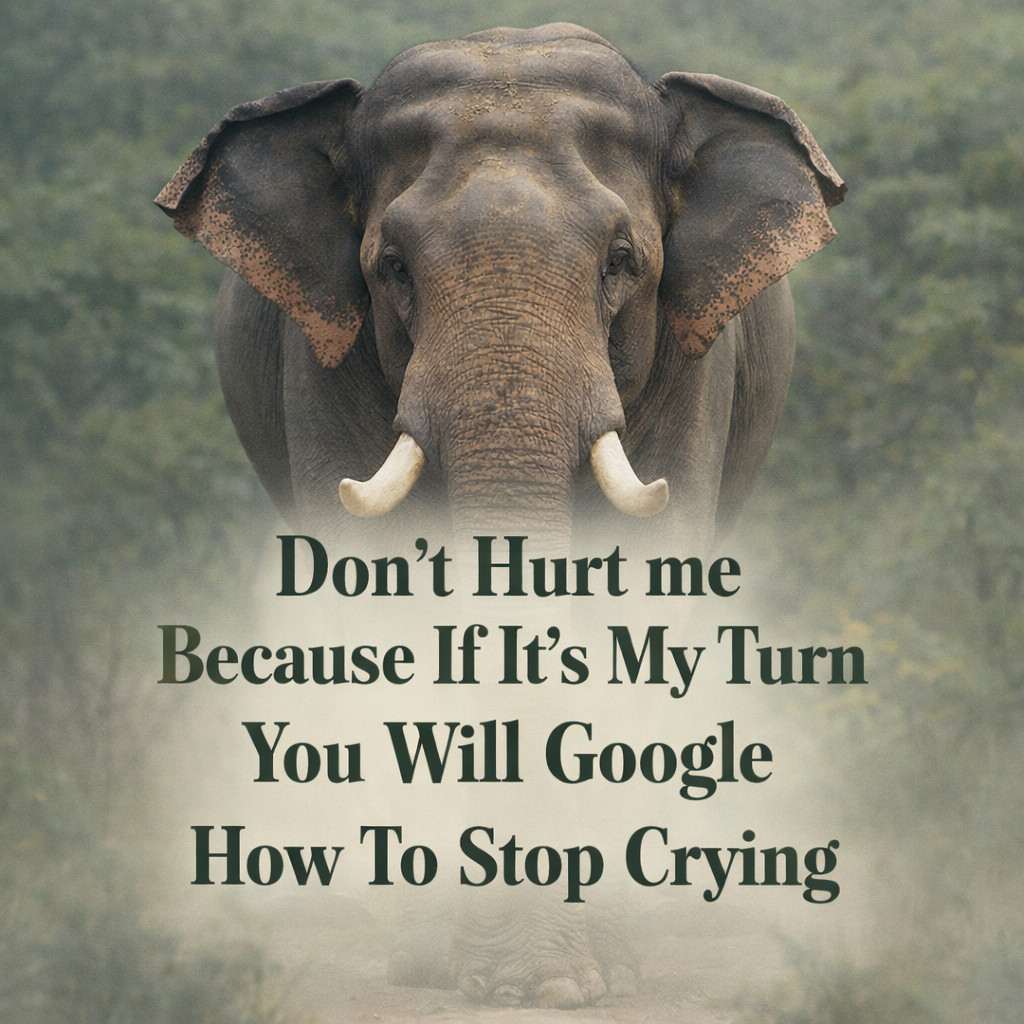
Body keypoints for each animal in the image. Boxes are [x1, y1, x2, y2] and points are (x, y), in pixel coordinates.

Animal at [157, 21, 844, 1008]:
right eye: (392, 269)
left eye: (622, 262)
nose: (531, 984)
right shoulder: (318, 353)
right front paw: (495, 974)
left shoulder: (693, 362)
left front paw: (584, 978)